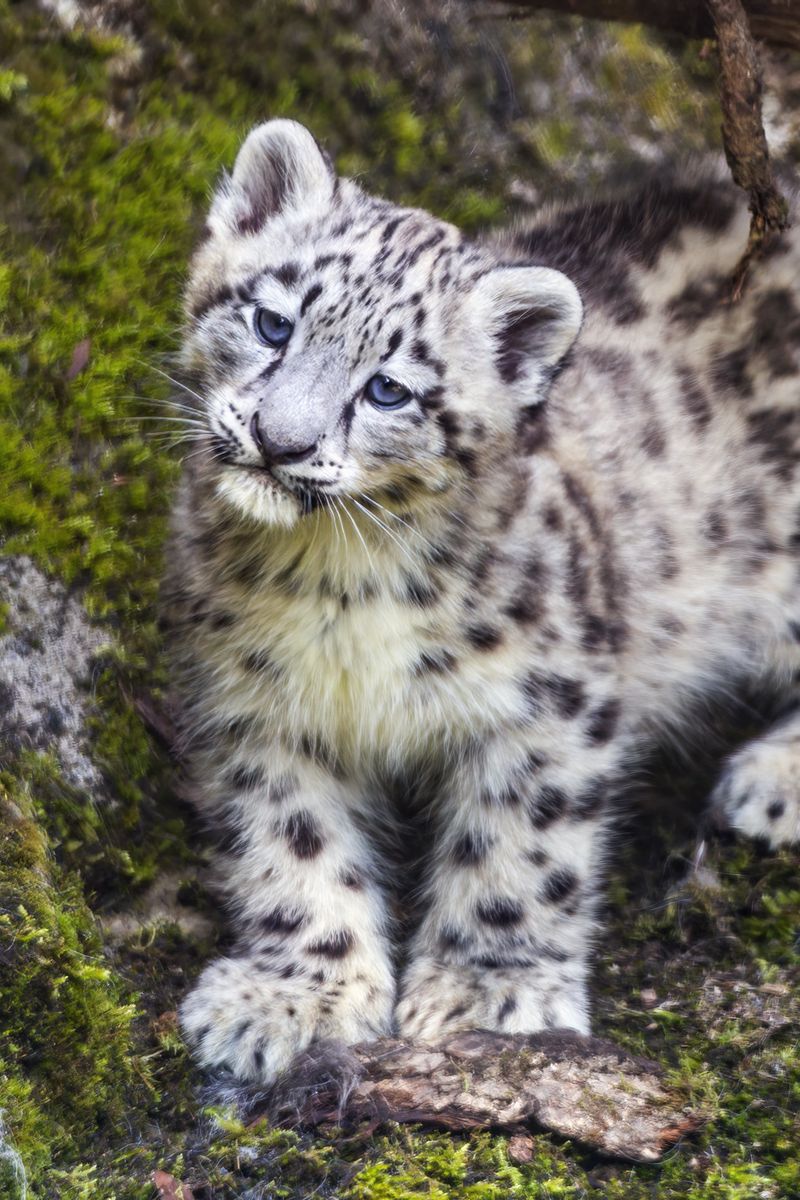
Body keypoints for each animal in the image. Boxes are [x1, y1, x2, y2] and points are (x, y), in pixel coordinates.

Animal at [161, 118, 800, 1084]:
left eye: (389, 388)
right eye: (272, 322)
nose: (280, 440)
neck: (336, 584)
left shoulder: (551, 699)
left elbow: (520, 847)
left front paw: (487, 993)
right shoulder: (256, 703)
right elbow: (290, 840)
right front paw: (296, 994)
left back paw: (769, 781)